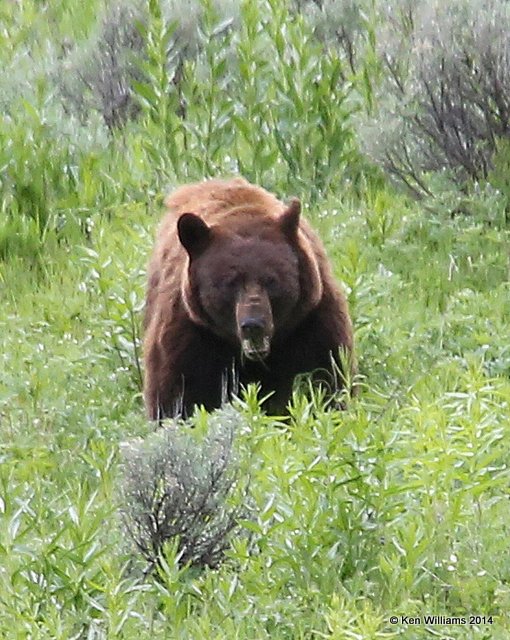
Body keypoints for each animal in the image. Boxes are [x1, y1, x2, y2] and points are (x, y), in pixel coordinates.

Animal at [141, 176, 352, 420]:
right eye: (230, 283)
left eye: (272, 280)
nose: (253, 324)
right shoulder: (189, 332)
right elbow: (179, 393)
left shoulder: (311, 321)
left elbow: (326, 375)